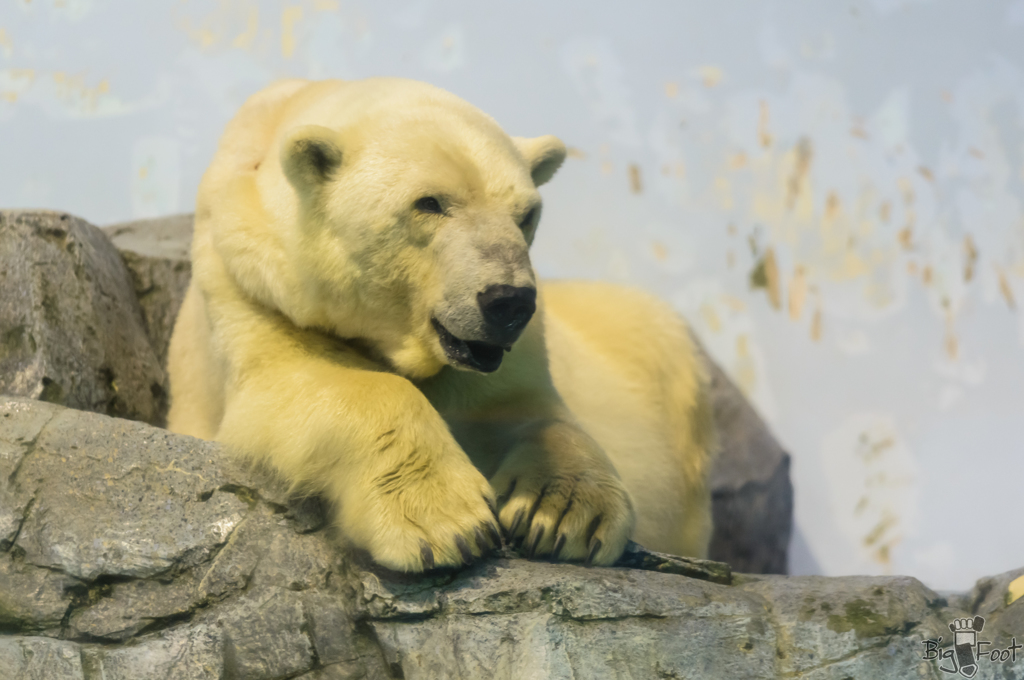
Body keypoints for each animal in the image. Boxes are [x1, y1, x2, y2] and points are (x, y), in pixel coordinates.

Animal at [165, 76, 712, 569]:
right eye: (428, 202)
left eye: (527, 213)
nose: (509, 301)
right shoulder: (251, 285)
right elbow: (302, 380)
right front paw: (444, 523)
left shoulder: (512, 352)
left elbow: (524, 410)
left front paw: (563, 515)